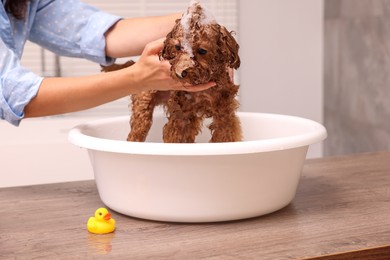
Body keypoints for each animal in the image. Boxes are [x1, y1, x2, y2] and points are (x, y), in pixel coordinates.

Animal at [101, 0, 241, 142]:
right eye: (177, 47)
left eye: (202, 51)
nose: (181, 73)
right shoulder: (182, 117)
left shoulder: (224, 115)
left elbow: (225, 135)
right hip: (143, 108)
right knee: (135, 134)